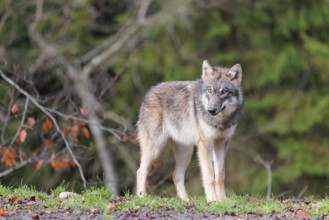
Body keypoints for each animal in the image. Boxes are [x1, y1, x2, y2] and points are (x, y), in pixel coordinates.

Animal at [135, 59, 242, 202]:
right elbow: (209, 176)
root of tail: (149, 92)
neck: (220, 121)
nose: (211, 110)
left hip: (186, 151)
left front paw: (223, 200)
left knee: (176, 175)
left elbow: (220, 176)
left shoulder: (221, 144)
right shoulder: (205, 144)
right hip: (156, 147)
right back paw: (142, 197)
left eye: (224, 92)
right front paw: (212, 200)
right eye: (209, 90)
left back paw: (185, 200)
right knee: (140, 171)